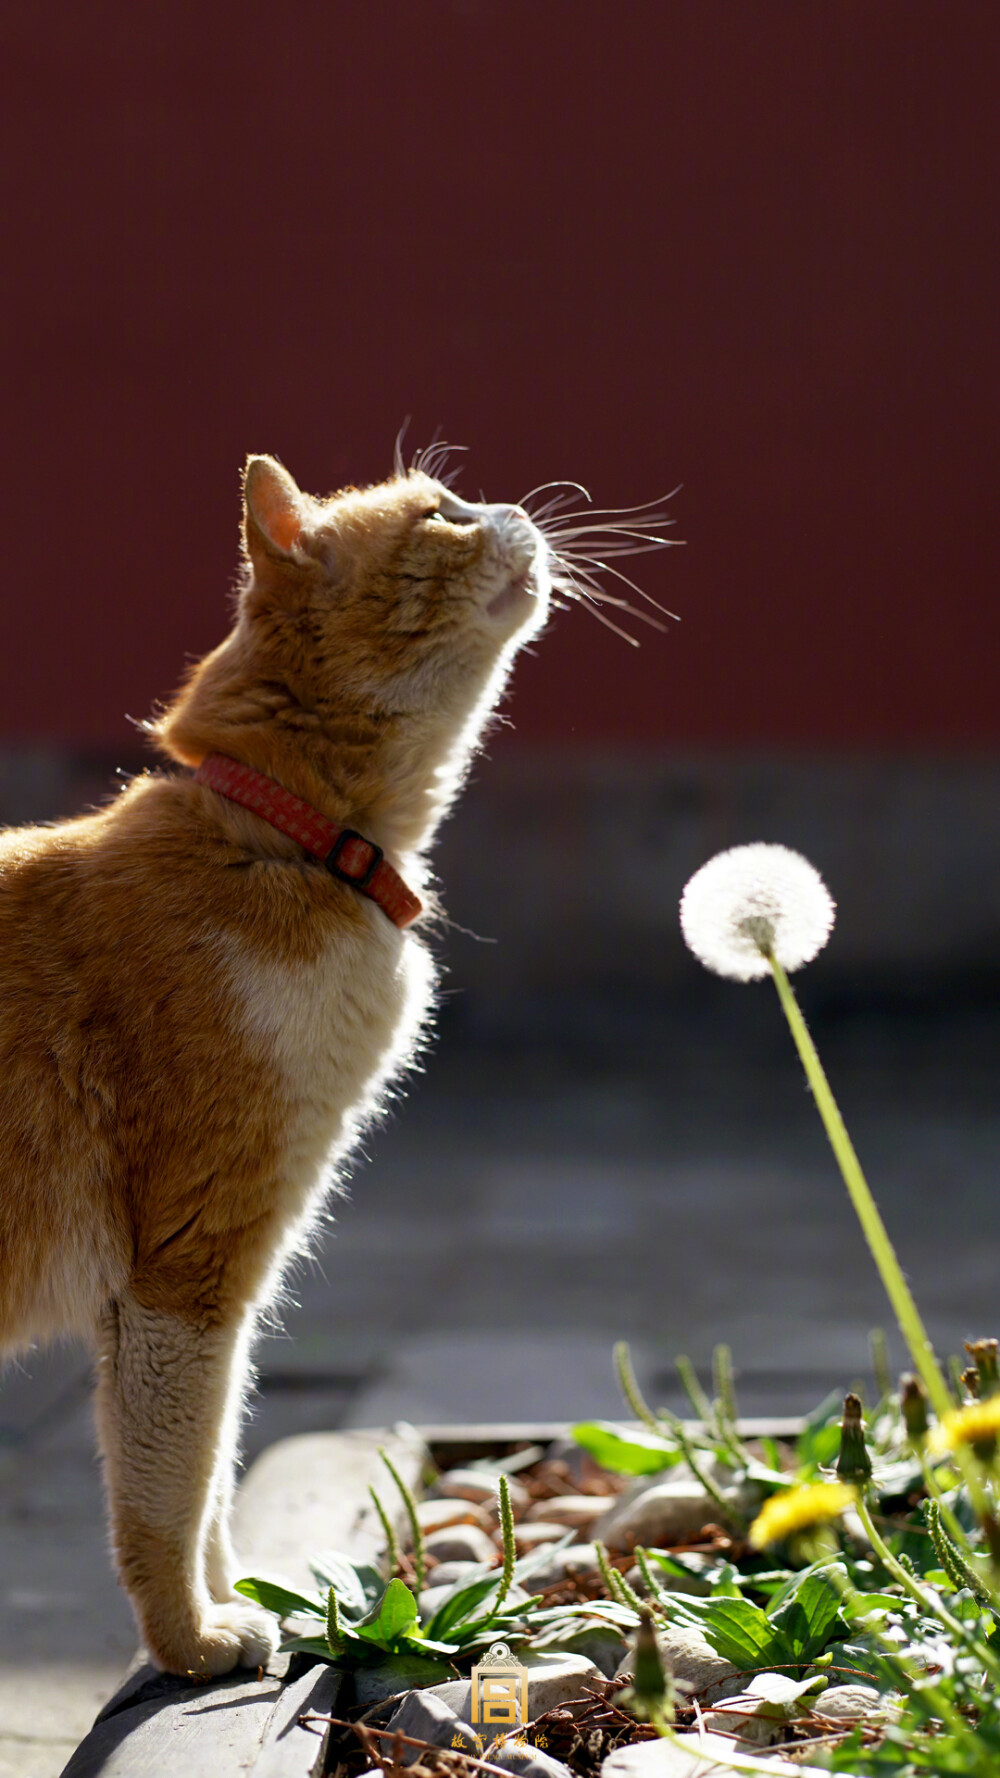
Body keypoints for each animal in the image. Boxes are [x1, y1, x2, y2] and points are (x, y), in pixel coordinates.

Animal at [0, 451, 551, 1671]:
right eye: (440, 514)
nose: (518, 508)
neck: (287, 844)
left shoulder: (210, 1283)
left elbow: (210, 1474)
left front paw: (234, 1604)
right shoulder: (189, 1263)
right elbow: (169, 1479)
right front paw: (188, 1644)